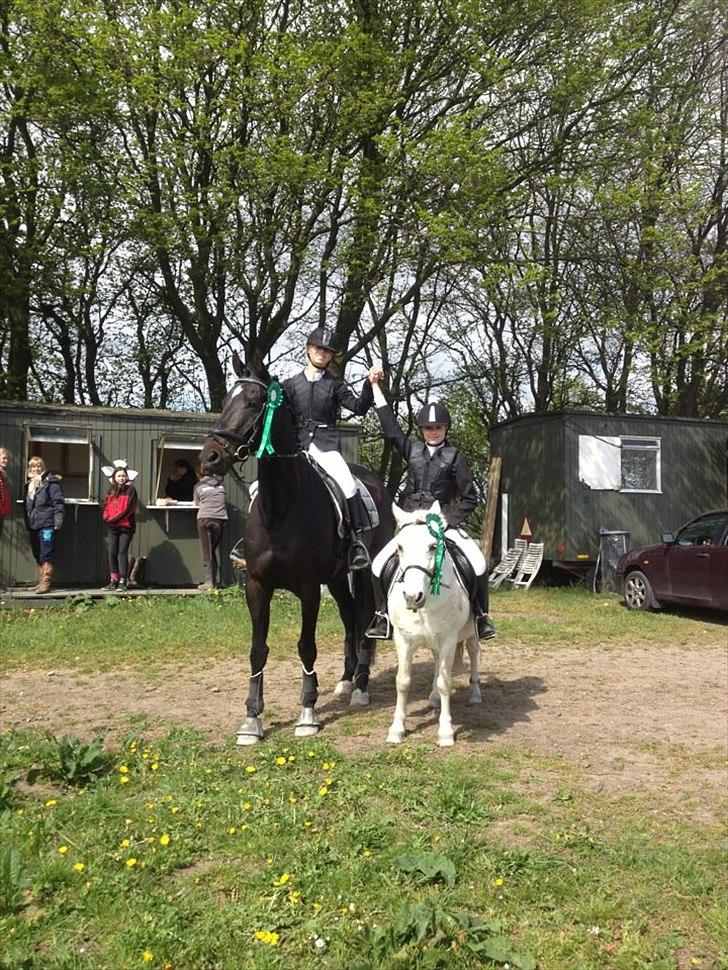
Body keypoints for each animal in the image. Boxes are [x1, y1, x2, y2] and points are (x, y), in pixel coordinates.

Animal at [199, 352, 396, 744]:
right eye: (226, 400)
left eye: (254, 402)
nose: (209, 458)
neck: (281, 508)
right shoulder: (257, 586)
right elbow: (257, 649)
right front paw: (251, 719)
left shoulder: (308, 589)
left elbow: (306, 645)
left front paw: (307, 712)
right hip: (336, 578)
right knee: (349, 617)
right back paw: (346, 681)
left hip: (364, 572)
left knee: (364, 617)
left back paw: (361, 687)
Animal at [386, 502, 484, 744]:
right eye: (400, 547)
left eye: (433, 546)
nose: (413, 597)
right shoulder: (403, 639)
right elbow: (403, 682)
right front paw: (397, 729)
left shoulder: (449, 640)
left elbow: (445, 682)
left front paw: (446, 732)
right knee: (436, 661)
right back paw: (432, 698)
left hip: (471, 634)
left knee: (473, 654)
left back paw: (475, 694)